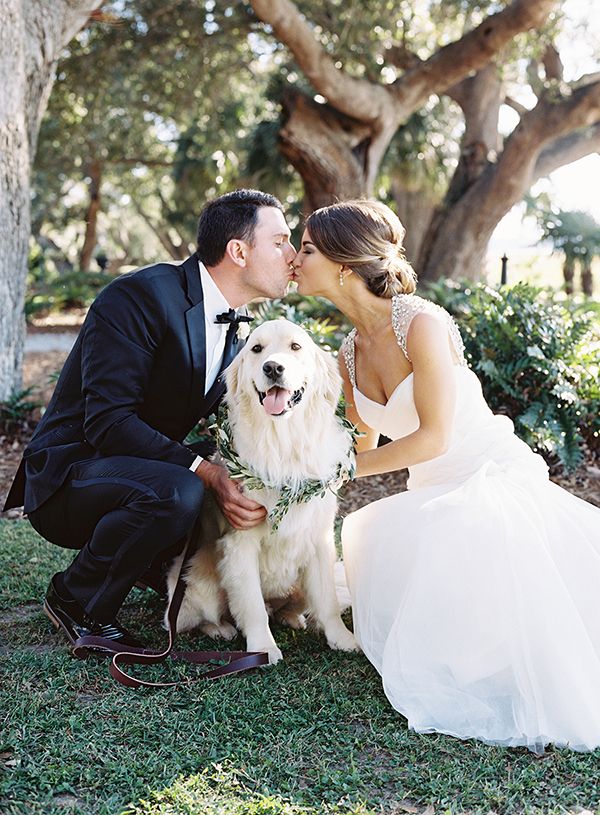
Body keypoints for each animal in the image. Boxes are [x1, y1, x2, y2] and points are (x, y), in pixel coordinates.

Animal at [166, 318, 358, 664]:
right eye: (256, 349)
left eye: (295, 347)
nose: (273, 367)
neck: (284, 441)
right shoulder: (240, 543)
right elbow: (252, 605)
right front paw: (262, 649)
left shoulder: (320, 540)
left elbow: (328, 601)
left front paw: (342, 639)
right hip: (195, 581)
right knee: (200, 617)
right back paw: (221, 629)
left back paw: (293, 618)